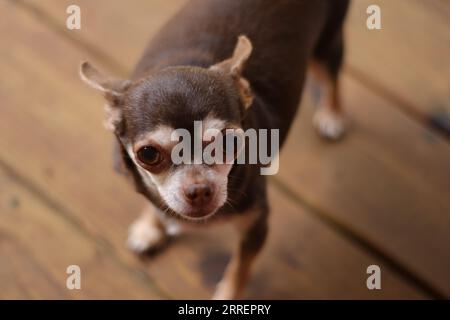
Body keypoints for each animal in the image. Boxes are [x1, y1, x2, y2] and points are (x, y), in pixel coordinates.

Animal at [80, 0, 348, 300]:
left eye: (228, 142)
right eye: (148, 154)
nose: (198, 191)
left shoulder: (256, 225)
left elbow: (239, 268)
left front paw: (228, 295)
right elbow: (152, 201)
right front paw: (150, 227)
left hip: (327, 44)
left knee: (331, 76)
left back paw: (332, 113)